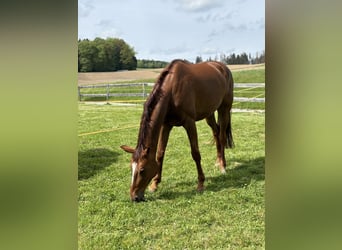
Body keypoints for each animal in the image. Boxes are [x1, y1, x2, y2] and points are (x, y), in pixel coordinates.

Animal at [119, 59, 234, 202]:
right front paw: (154, 184)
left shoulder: (189, 123)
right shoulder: (166, 125)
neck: (172, 91)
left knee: (222, 136)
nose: (134, 197)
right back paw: (218, 162)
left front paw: (201, 184)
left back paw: (223, 166)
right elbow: (160, 154)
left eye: (142, 170)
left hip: (224, 108)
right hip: (209, 113)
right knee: (216, 132)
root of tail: (222, 67)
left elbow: (195, 153)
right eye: (131, 168)